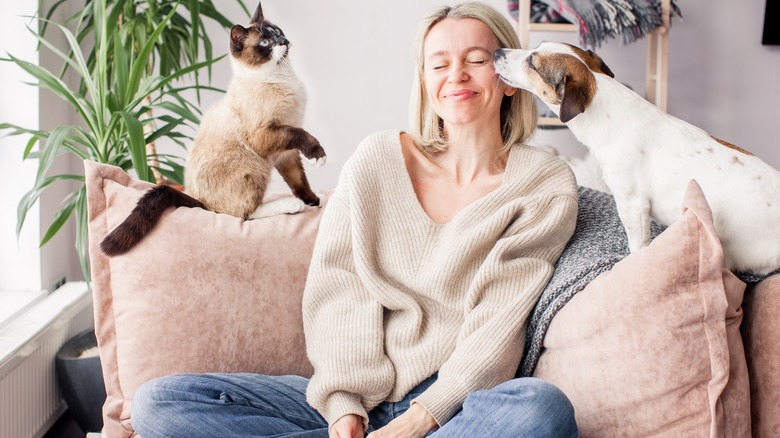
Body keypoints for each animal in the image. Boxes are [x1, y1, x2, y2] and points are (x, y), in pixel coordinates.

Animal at [101, 1, 326, 256]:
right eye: (265, 43)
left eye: (277, 31)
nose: (284, 41)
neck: (281, 76)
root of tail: (201, 203)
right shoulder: (269, 135)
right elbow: (302, 136)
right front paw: (318, 157)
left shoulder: (285, 153)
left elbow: (299, 181)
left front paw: (314, 201)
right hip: (254, 164)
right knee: (243, 214)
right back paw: (291, 206)